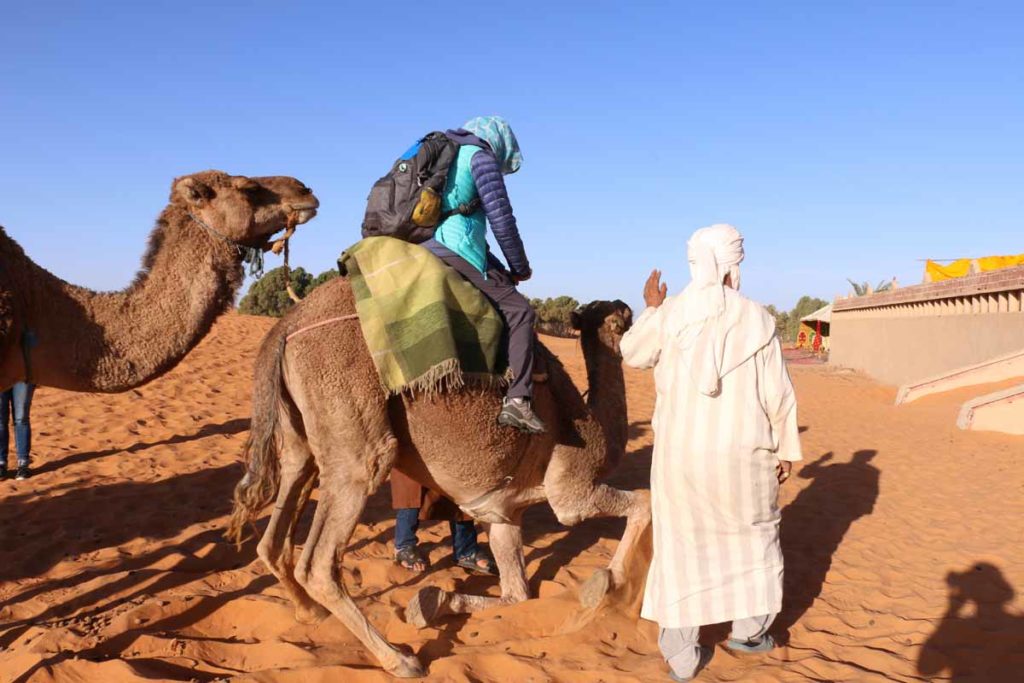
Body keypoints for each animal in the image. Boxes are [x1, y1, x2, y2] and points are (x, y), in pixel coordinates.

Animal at [228, 237, 651, 675]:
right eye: (619, 317)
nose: (628, 307)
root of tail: (286, 326)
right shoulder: (572, 488)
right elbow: (642, 503)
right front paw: (610, 587)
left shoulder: (503, 512)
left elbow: (517, 594)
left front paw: (431, 603)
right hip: (352, 420)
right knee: (321, 559)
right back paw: (399, 659)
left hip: (300, 435)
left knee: (277, 525)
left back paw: (310, 613)